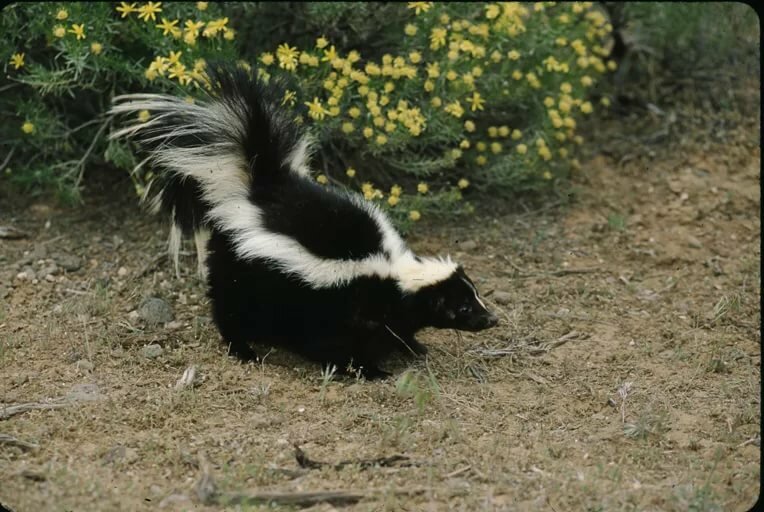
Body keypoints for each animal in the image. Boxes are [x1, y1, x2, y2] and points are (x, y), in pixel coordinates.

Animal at [110, 67, 498, 380]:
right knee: (228, 309)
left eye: (476, 294)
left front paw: (413, 346)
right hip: (239, 269)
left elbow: (397, 329)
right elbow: (341, 345)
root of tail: (261, 189)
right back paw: (244, 350)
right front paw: (369, 370)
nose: (491, 319)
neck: (391, 273)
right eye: (462, 307)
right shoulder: (343, 305)